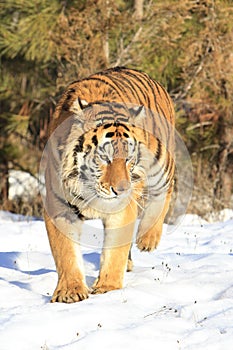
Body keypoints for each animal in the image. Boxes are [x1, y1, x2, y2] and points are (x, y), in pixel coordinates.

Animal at [43, 67, 175, 302]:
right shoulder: (58, 206)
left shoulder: (122, 208)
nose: (121, 189)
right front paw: (70, 292)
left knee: (166, 189)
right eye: (104, 157)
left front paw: (107, 289)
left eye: (128, 158)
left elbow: (114, 251)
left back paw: (148, 238)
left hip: (161, 162)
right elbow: (65, 252)